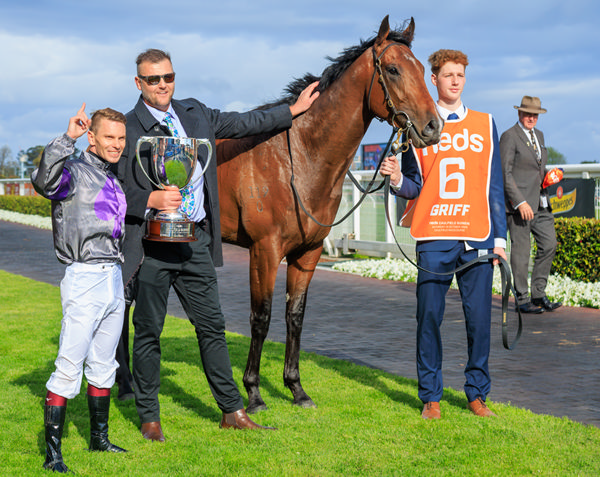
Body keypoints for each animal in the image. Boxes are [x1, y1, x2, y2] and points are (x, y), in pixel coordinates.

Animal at [216, 15, 440, 412]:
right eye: (393, 69)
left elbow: (295, 316)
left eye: (422, 70)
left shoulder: (308, 252)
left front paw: (296, 388)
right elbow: (261, 317)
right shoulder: (265, 251)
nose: (432, 127)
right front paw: (254, 393)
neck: (298, 159)